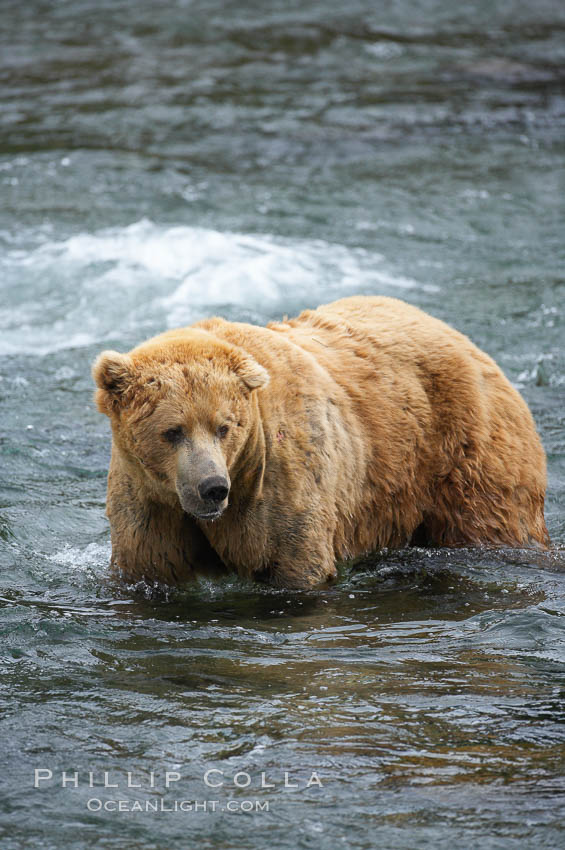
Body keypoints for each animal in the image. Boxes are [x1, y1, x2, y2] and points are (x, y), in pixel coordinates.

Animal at [92, 294, 548, 588]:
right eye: (173, 431)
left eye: (224, 427)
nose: (212, 487)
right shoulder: (148, 503)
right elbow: (149, 569)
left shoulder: (278, 482)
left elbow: (296, 566)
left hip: (465, 456)